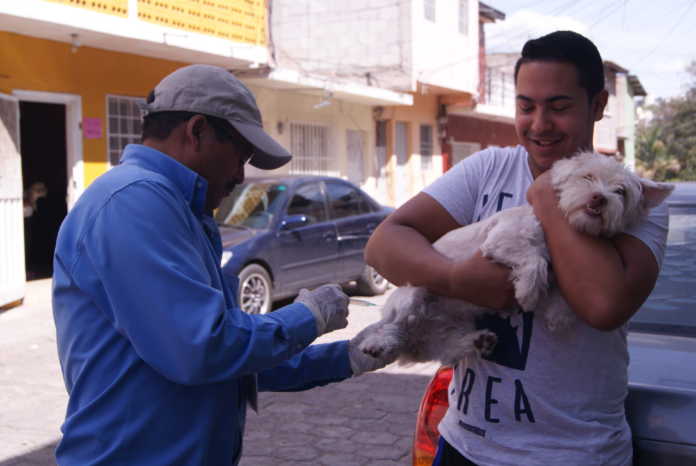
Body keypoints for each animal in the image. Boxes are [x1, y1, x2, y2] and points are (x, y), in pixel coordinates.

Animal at [358, 151, 676, 366]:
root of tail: (416, 338)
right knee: (394, 324)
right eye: (586, 177)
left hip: (447, 330)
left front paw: (558, 313)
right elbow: (535, 261)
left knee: (446, 348)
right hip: (411, 295)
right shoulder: (503, 240)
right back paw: (379, 343)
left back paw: (479, 341)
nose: (599, 198)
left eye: (620, 192)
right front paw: (527, 292)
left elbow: (561, 290)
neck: (558, 229)